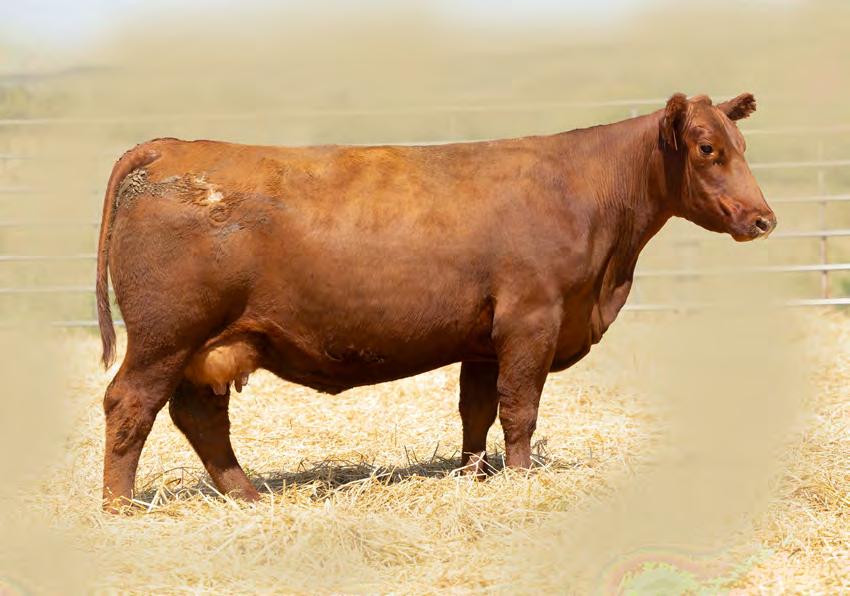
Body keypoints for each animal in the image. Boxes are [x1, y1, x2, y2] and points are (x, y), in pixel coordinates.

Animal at [96, 92, 775, 510]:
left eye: (742, 146)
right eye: (708, 149)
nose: (763, 219)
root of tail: (170, 145)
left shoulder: (484, 339)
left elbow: (477, 412)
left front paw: (475, 475)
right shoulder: (532, 320)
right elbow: (520, 410)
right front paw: (519, 480)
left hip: (207, 345)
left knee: (199, 417)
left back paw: (246, 496)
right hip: (165, 336)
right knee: (130, 404)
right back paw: (121, 506)